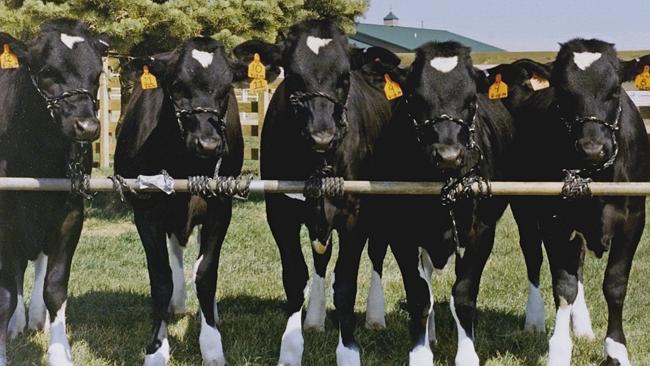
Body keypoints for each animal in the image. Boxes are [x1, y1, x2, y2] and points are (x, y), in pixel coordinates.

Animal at [0, 18, 109, 364]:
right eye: (48, 71)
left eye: (96, 75)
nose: (87, 127)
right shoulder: (5, 218)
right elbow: (6, 293)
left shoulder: (71, 213)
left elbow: (55, 286)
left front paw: (60, 351)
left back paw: (35, 317)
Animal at [112, 35, 247, 364]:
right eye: (176, 85)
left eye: (226, 89)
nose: (209, 143)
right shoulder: (145, 210)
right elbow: (161, 278)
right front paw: (156, 348)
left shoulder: (220, 207)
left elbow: (206, 273)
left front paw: (212, 346)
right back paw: (177, 303)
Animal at [230, 20, 398, 366]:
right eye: (293, 74)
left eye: (345, 76)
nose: (322, 135)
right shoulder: (280, 212)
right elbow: (296, 277)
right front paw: (291, 348)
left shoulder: (354, 214)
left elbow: (345, 284)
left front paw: (348, 351)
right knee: (322, 258)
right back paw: (315, 319)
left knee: (376, 253)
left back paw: (375, 316)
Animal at [368, 41, 520, 364]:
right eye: (414, 97)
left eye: (472, 99)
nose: (448, 154)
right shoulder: (401, 233)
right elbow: (418, 295)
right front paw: (420, 353)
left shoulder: (481, 232)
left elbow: (463, 295)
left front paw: (467, 355)